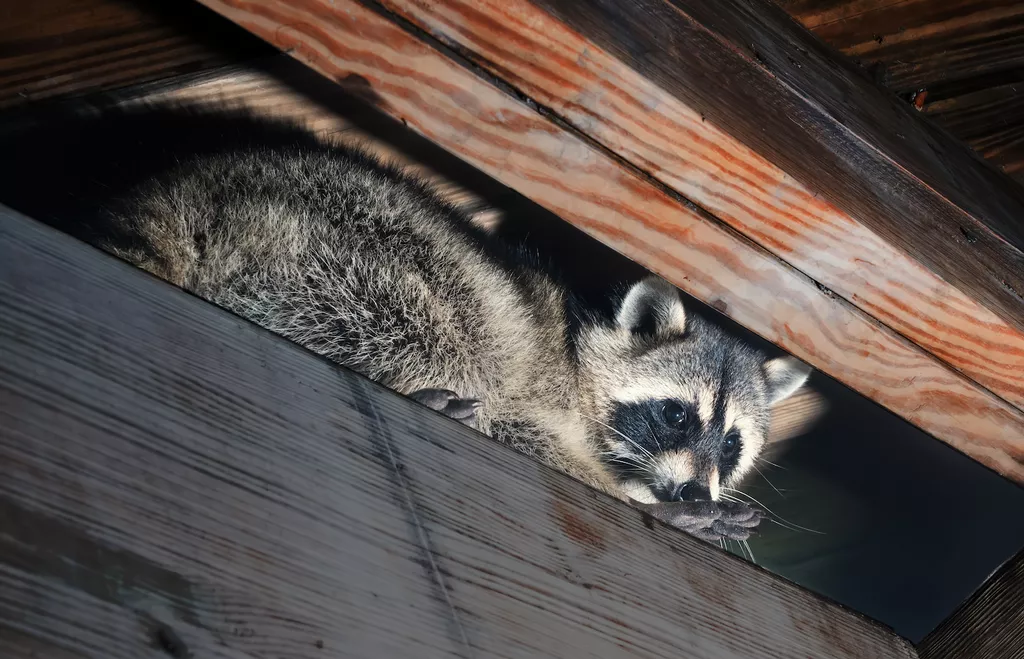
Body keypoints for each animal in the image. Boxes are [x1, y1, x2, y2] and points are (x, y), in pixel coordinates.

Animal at [0, 105, 811, 544]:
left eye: (731, 443)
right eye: (675, 415)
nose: (695, 494)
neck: (579, 354)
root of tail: (184, 190)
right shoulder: (536, 386)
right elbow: (523, 429)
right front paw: (642, 503)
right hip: (339, 249)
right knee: (429, 318)